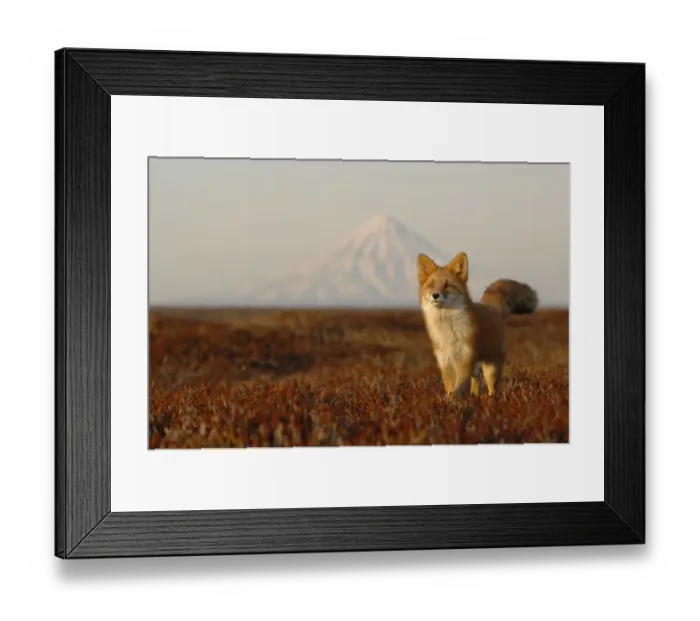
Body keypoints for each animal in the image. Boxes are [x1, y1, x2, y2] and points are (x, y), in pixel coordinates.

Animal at [417, 251, 538, 401]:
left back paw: (490, 402)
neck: (449, 330)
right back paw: (475, 399)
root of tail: (492, 308)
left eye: (447, 285)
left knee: (492, 389)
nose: (435, 295)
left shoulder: (465, 359)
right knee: (476, 383)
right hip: (476, 368)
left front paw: (453, 402)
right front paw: (449, 402)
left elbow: (458, 387)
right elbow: (450, 387)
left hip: (491, 369)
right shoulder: (445, 362)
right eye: (431, 285)